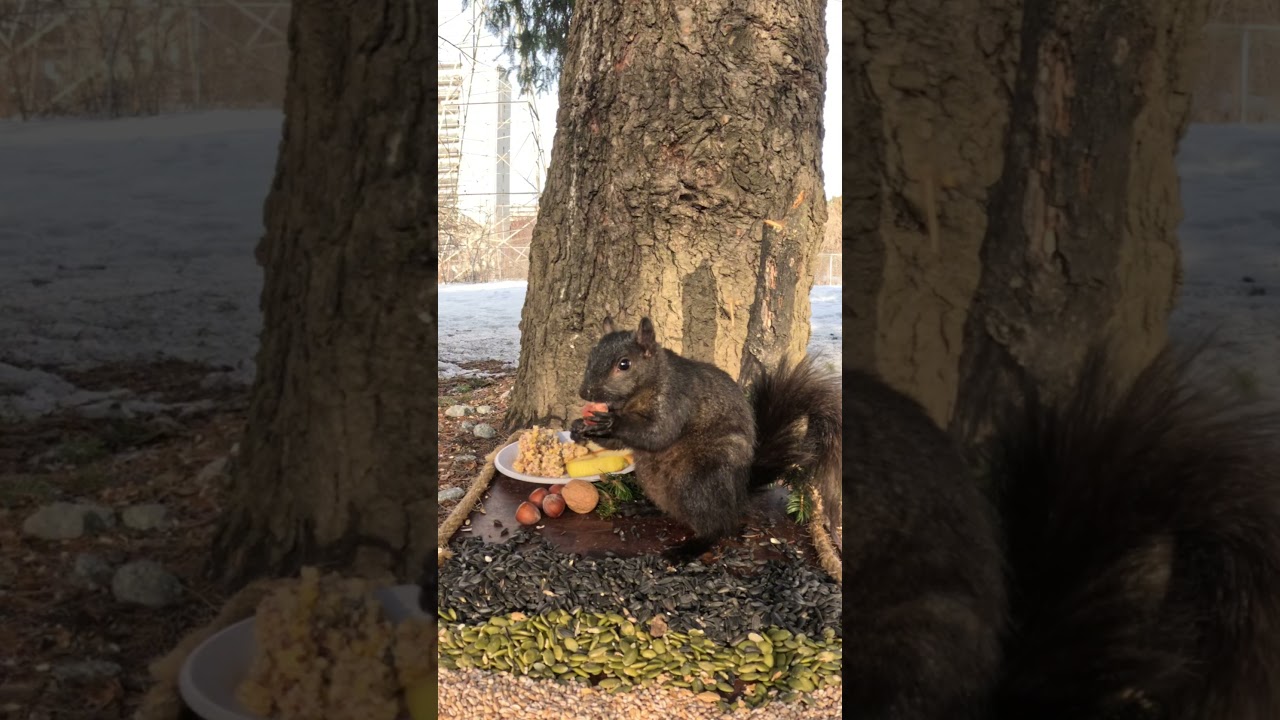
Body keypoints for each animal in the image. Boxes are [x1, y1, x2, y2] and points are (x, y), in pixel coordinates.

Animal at [568, 316, 842, 564]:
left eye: (624, 364)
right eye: (591, 355)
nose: (585, 393)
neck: (637, 396)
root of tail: (739, 494)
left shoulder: (677, 399)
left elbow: (658, 433)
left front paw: (610, 423)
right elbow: (619, 444)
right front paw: (579, 428)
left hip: (700, 483)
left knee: (718, 527)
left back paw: (689, 549)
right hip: (651, 479)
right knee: (671, 509)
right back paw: (641, 508)